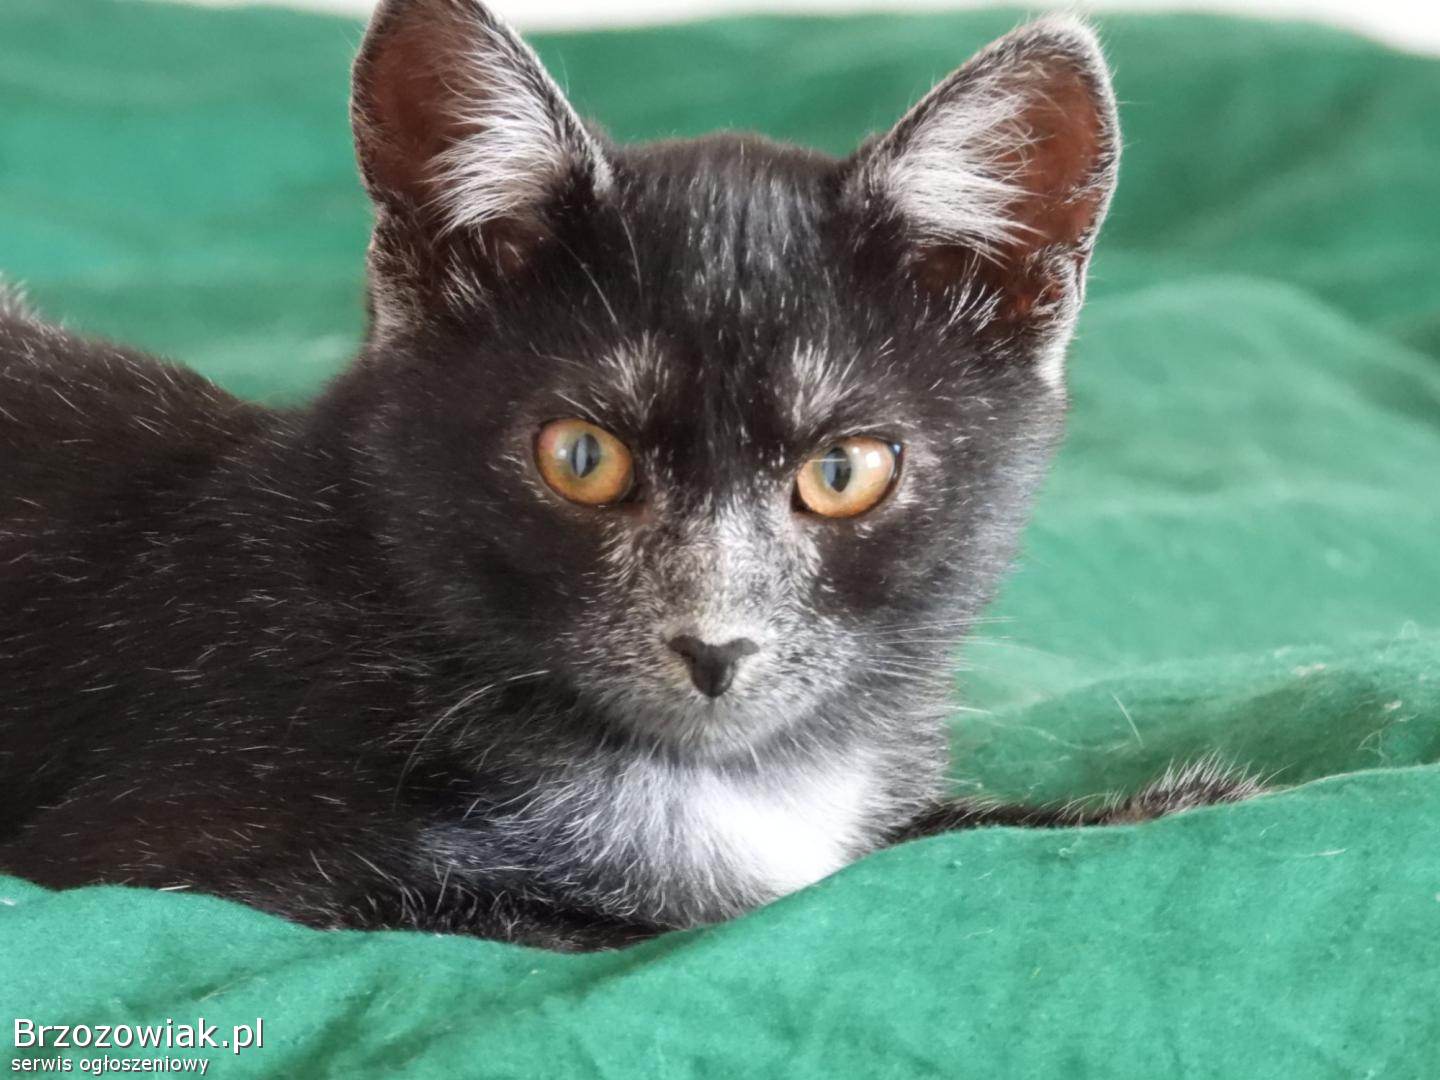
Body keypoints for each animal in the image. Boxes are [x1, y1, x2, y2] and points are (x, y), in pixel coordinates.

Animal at [0, 0, 1261, 951]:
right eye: (581, 457)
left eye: (844, 470)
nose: (713, 645)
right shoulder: (175, 853)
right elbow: (618, 917)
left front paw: (1149, 807)